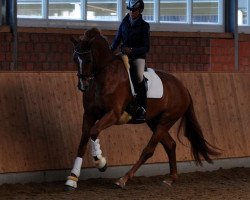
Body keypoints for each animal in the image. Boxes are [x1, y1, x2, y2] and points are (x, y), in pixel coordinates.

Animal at [65, 27, 219, 189]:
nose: (83, 86)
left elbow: (94, 132)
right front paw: (72, 179)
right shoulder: (89, 114)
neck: (104, 75)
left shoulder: (113, 114)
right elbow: (83, 142)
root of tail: (183, 88)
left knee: (149, 150)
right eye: (74, 59)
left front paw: (101, 163)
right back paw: (171, 178)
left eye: (88, 59)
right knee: (170, 145)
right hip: (154, 121)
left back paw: (124, 179)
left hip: (166, 120)